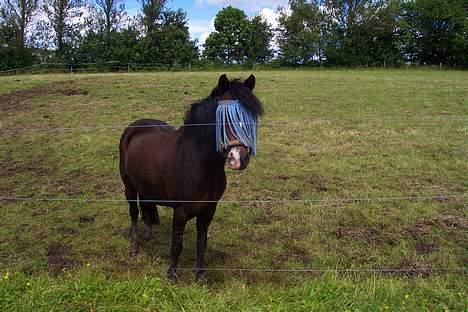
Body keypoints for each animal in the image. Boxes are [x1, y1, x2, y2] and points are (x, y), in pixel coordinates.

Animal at [119, 74, 264, 282]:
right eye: (224, 118)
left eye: (251, 117)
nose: (239, 158)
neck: (199, 164)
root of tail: (134, 127)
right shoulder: (180, 212)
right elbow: (177, 244)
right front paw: (171, 275)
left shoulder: (208, 211)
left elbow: (201, 243)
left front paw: (201, 276)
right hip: (129, 186)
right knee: (133, 213)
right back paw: (134, 246)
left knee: (146, 207)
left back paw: (148, 235)